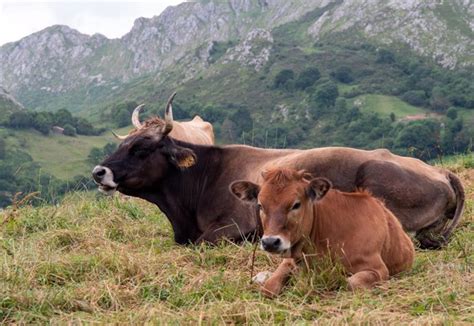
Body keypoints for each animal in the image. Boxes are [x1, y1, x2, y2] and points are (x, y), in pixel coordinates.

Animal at [91, 98, 462, 248]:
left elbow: (201, 242)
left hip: (375, 178)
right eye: (126, 142)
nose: (98, 171)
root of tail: (441, 172)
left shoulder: (235, 227)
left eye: (141, 148)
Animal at [231, 167, 414, 296]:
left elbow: (349, 283)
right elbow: (269, 288)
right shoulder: (290, 259)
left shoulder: (378, 269)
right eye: (260, 205)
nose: (270, 242)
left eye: (296, 204)